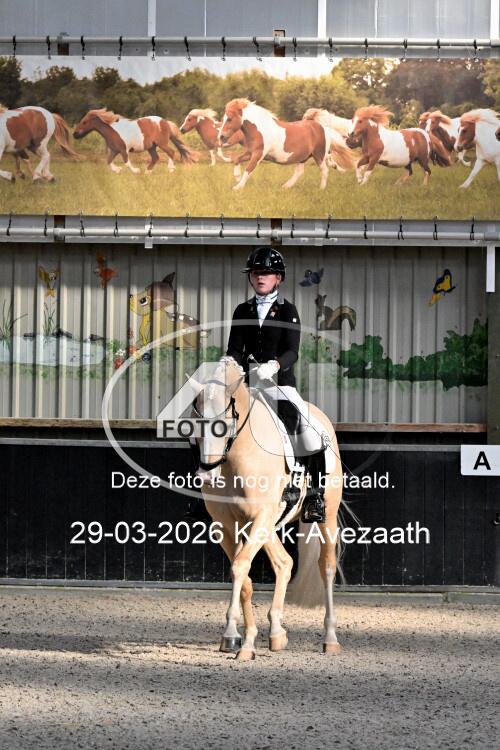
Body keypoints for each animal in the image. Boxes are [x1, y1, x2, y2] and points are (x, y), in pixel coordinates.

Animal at [187, 356, 344, 660]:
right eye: (194, 422)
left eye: (224, 422)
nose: (206, 476)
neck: (238, 454)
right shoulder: (228, 526)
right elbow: (244, 576)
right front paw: (239, 638)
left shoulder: (259, 518)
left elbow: (240, 567)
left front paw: (238, 638)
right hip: (266, 523)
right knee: (284, 563)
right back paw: (276, 634)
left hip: (325, 516)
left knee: (326, 566)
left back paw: (330, 638)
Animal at [218, 98, 354, 190]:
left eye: (229, 118)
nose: (221, 136)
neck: (260, 129)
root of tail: (321, 127)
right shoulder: (250, 152)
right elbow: (237, 159)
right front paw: (237, 176)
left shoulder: (258, 155)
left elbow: (249, 169)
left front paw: (237, 187)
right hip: (303, 157)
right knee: (299, 172)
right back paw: (285, 186)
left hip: (319, 155)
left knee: (325, 170)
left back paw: (321, 189)